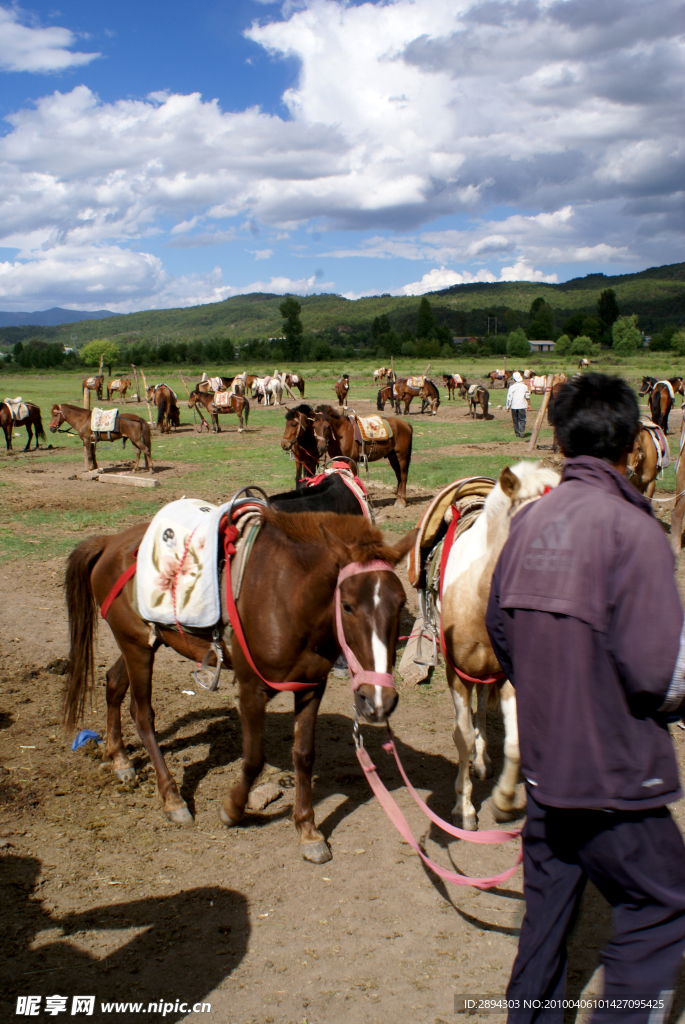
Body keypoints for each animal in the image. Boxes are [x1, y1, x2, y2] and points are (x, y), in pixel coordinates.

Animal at [63, 507, 413, 860]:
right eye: (348, 605)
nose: (378, 700)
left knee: (113, 684)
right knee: (143, 714)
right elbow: (254, 758)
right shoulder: (251, 689)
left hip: (144, 642)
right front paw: (232, 809)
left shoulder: (312, 685)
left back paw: (119, 758)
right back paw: (172, 799)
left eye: (400, 604)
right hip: (137, 647)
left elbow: (303, 754)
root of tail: (110, 542)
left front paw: (308, 830)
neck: (289, 596)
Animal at [438, 460, 561, 827]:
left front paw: (504, 800)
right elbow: (461, 736)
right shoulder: (457, 676)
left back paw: (482, 761)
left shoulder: (508, 677)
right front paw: (464, 808)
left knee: (481, 710)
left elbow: (515, 740)